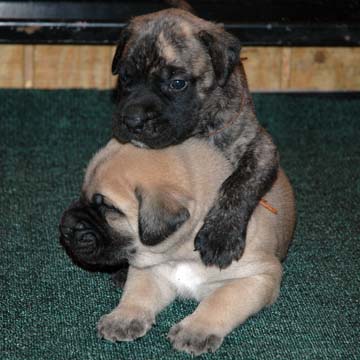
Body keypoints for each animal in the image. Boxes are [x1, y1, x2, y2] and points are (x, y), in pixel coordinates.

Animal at [59, 139, 296, 356]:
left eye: (108, 208)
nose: (65, 227)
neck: (181, 253)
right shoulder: (150, 269)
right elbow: (137, 291)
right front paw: (123, 317)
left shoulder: (259, 276)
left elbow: (221, 299)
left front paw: (196, 330)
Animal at [111, 8, 280, 268]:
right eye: (125, 77)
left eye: (177, 83)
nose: (132, 121)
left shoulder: (260, 145)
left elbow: (239, 182)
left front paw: (220, 234)